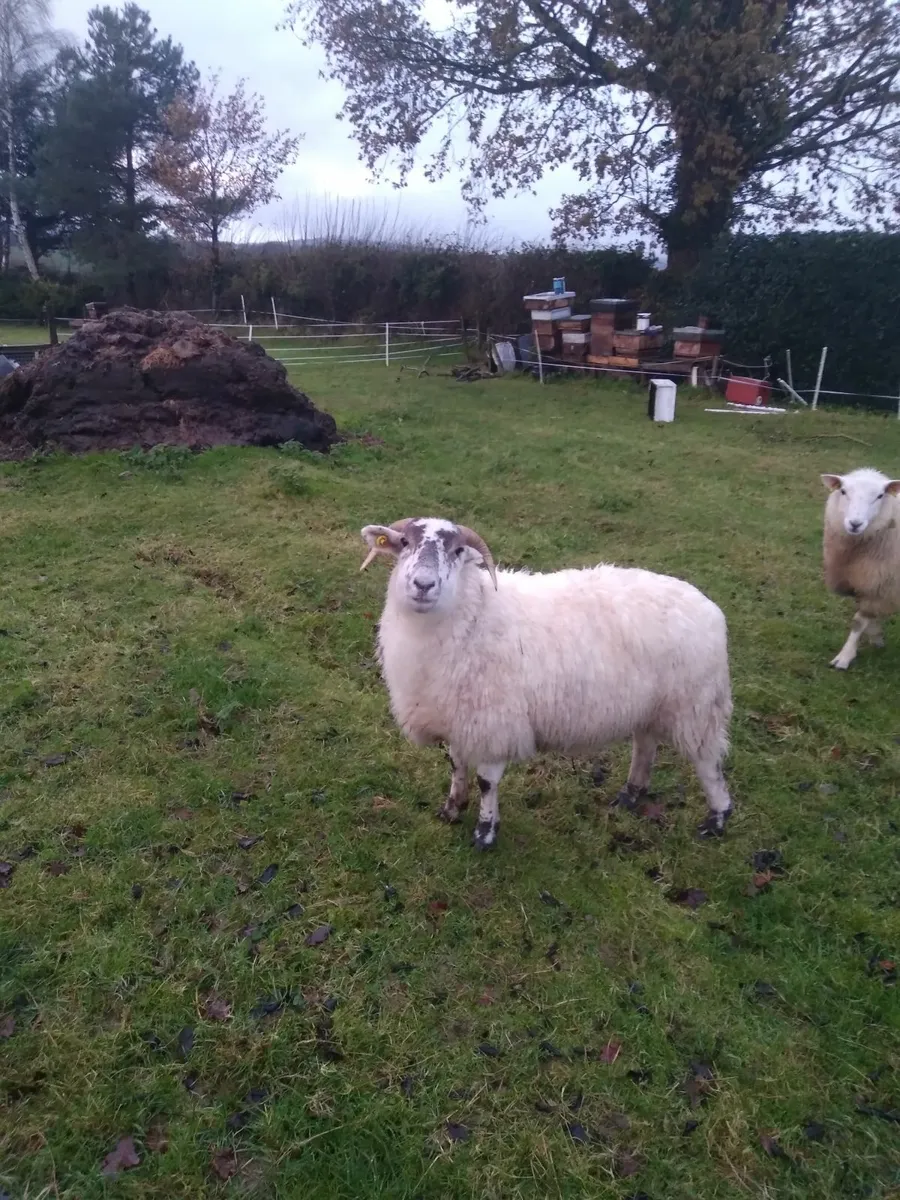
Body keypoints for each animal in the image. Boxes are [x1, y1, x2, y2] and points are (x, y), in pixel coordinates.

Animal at [359, 516, 734, 850]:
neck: (475, 612)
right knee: (645, 745)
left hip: (696, 707)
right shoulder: (459, 717)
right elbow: (457, 766)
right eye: (404, 543)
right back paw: (629, 796)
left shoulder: (496, 723)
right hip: (650, 706)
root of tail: (709, 607)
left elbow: (486, 782)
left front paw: (485, 833)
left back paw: (716, 820)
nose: (423, 585)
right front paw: (451, 810)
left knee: (708, 763)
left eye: (457, 550)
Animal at [821, 468, 900, 669]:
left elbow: (858, 622)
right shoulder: (868, 580)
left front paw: (845, 656)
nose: (855, 524)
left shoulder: (881, 580)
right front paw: (876, 637)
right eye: (843, 491)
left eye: (880, 496)